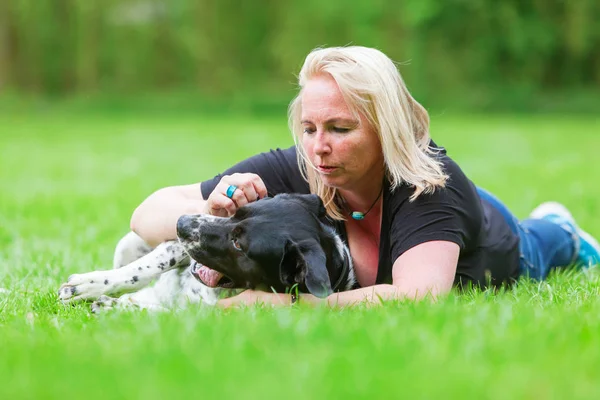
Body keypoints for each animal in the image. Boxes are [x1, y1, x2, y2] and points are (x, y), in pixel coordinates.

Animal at [58, 194, 354, 312]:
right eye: (237, 212)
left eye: (238, 243)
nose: (181, 222)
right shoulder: (177, 247)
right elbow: (140, 270)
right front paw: (85, 286)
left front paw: (116, 307)